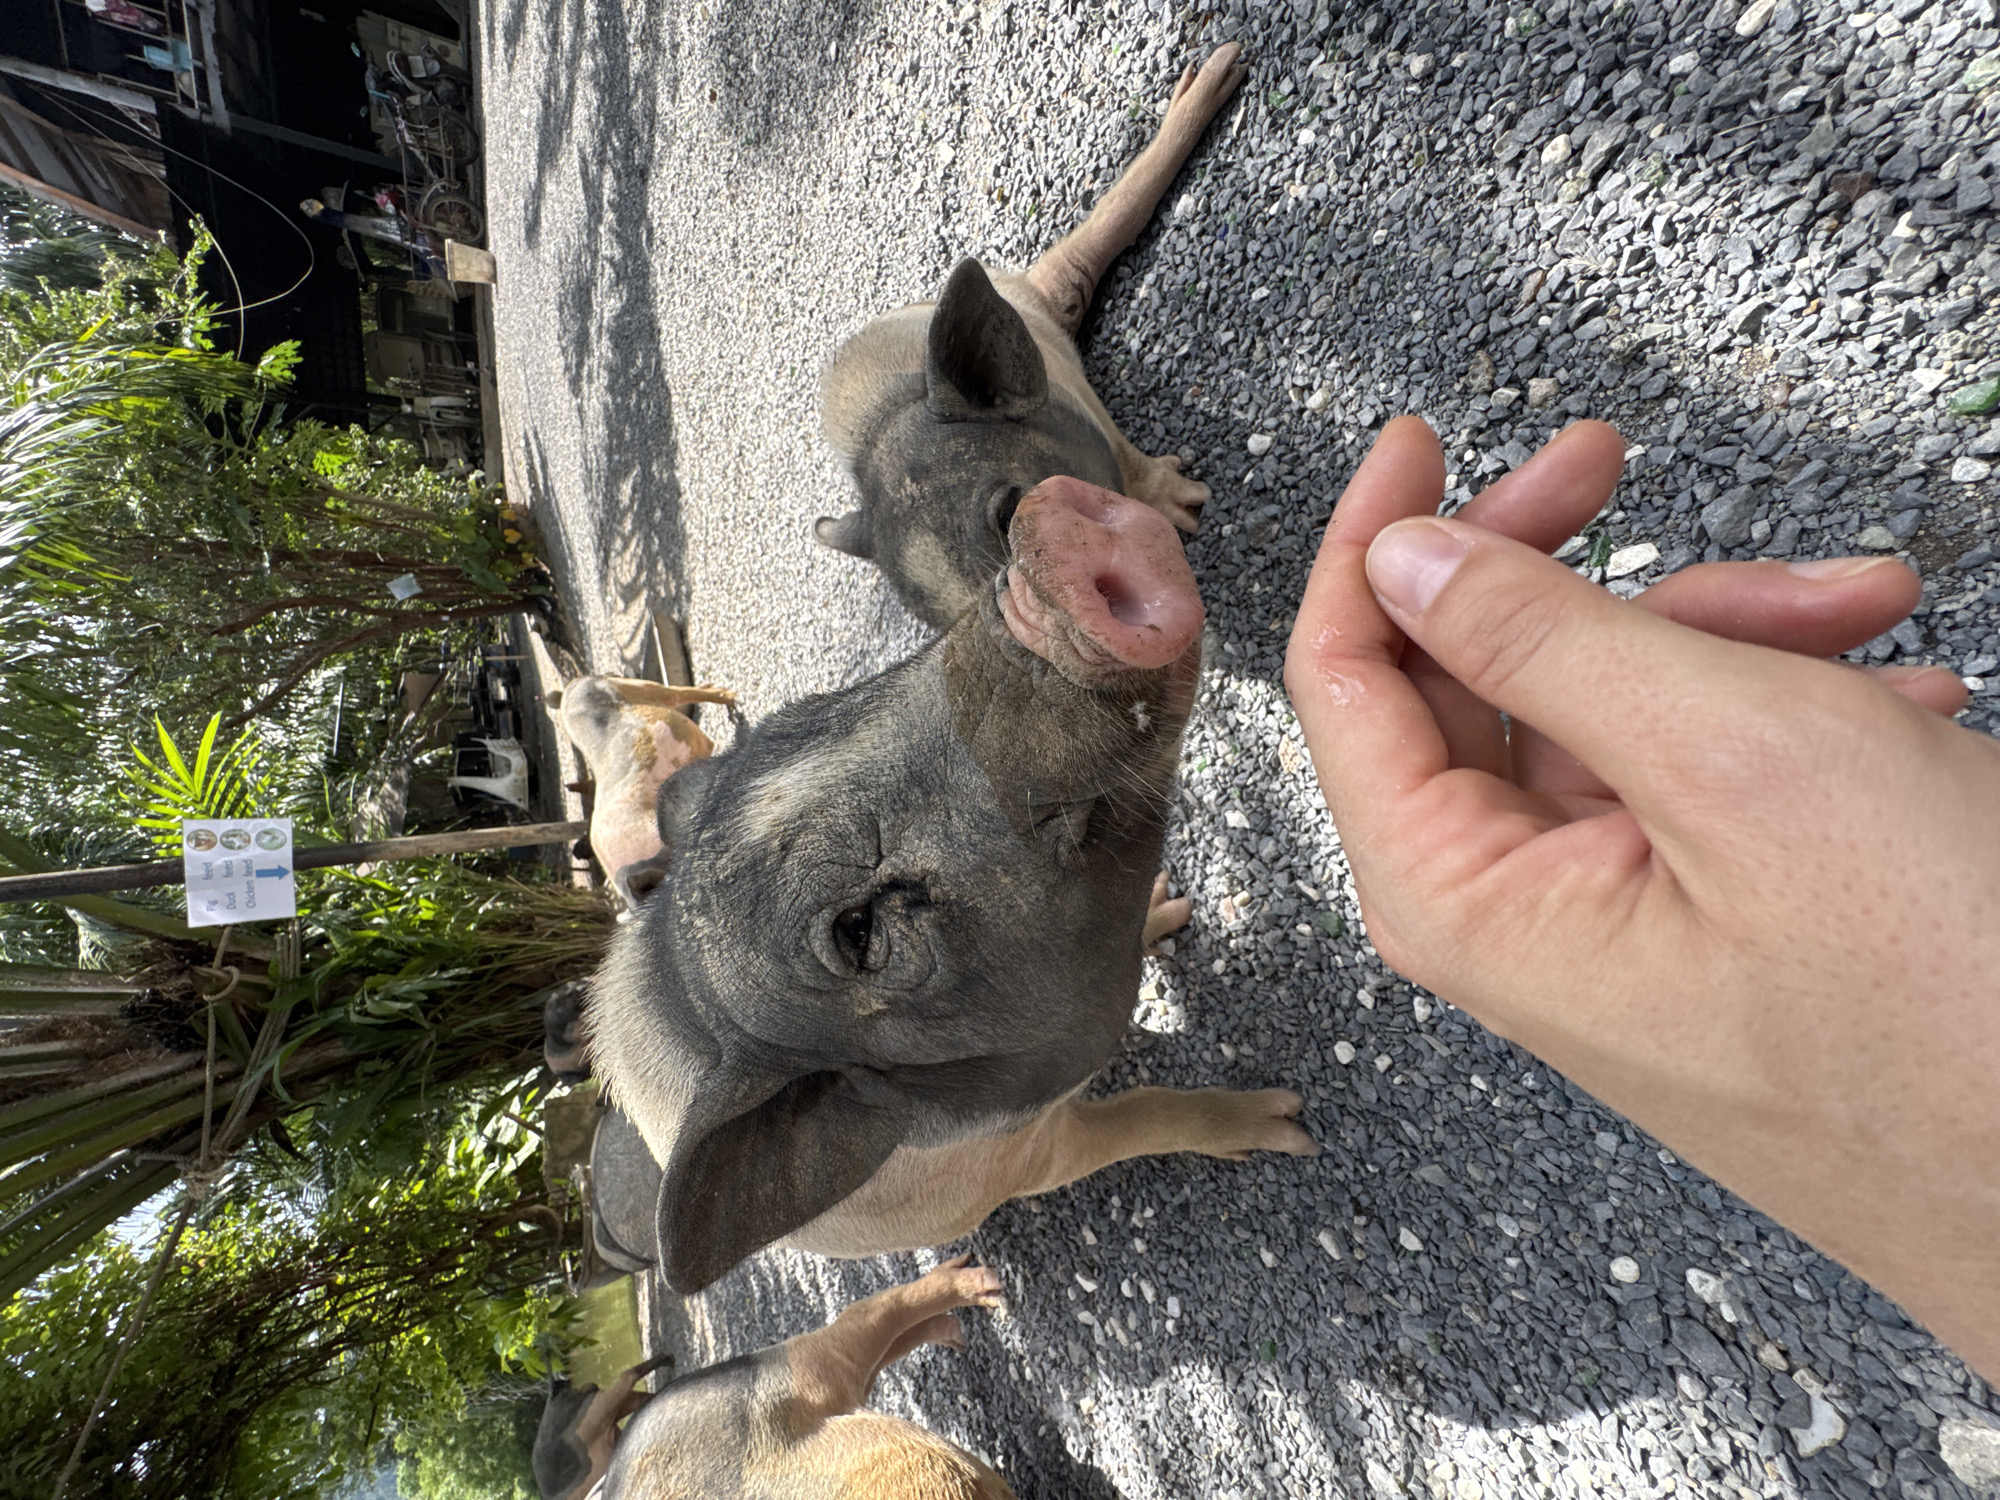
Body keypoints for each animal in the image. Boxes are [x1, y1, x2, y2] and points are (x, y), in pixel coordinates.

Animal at [534, 1352, 675, 1500]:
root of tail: (553, 1395)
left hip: (599, 1409)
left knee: (627, 1376)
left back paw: (667, 1359)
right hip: (611, 1409)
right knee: (639, 1395)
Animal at [590, 477, 1318, 1295]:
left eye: (807, 715)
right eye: (858, 931)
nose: (1042, 535)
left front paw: (1172, 906)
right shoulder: (1024, 1157)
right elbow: (1144, 1115)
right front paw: (1291, 1123)